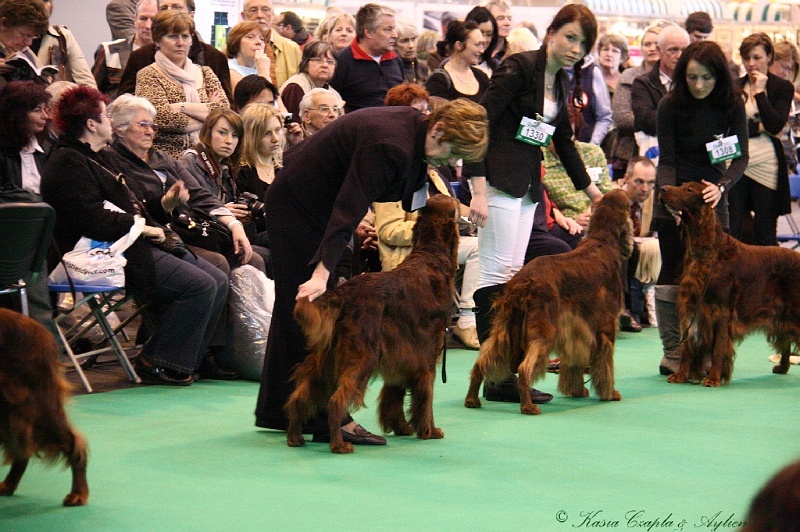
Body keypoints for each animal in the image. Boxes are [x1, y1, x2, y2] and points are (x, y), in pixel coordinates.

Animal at [290, 195, 462, 454]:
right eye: (456, 202)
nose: (467, 210)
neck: (431, 255)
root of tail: (344, 293)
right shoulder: (428, 353)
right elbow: (426, 396)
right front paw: (430, 431)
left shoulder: (402, 355)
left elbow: (395, 392)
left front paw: (402, 427)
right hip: (363, 355)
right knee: (335, 401)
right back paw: (339, 444)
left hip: (327, 358)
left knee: (301, 394)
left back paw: (295, 437)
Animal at [462, 190, 632, 416]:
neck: (602, 241)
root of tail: (523, 283)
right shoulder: (606, 326)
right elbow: (606, 365)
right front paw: (610, 393)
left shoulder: (576, 329)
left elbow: (576, 361)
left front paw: (577, 390)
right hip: (544, 332)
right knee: (524, 368)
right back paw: (528, 406)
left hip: (503, 331)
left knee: (481, 363)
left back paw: (472, 400)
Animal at [660, 182, 800, 386]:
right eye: (681, 185)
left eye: (689, 190)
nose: (662, 189)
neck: (708, 251)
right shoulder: (690, 305)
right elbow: (687, 346)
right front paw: (681, 375)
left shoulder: (721, 310)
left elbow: (718, 347)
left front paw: (713, 378)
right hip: (781, 313)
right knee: (785, 338)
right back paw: (782, 367)